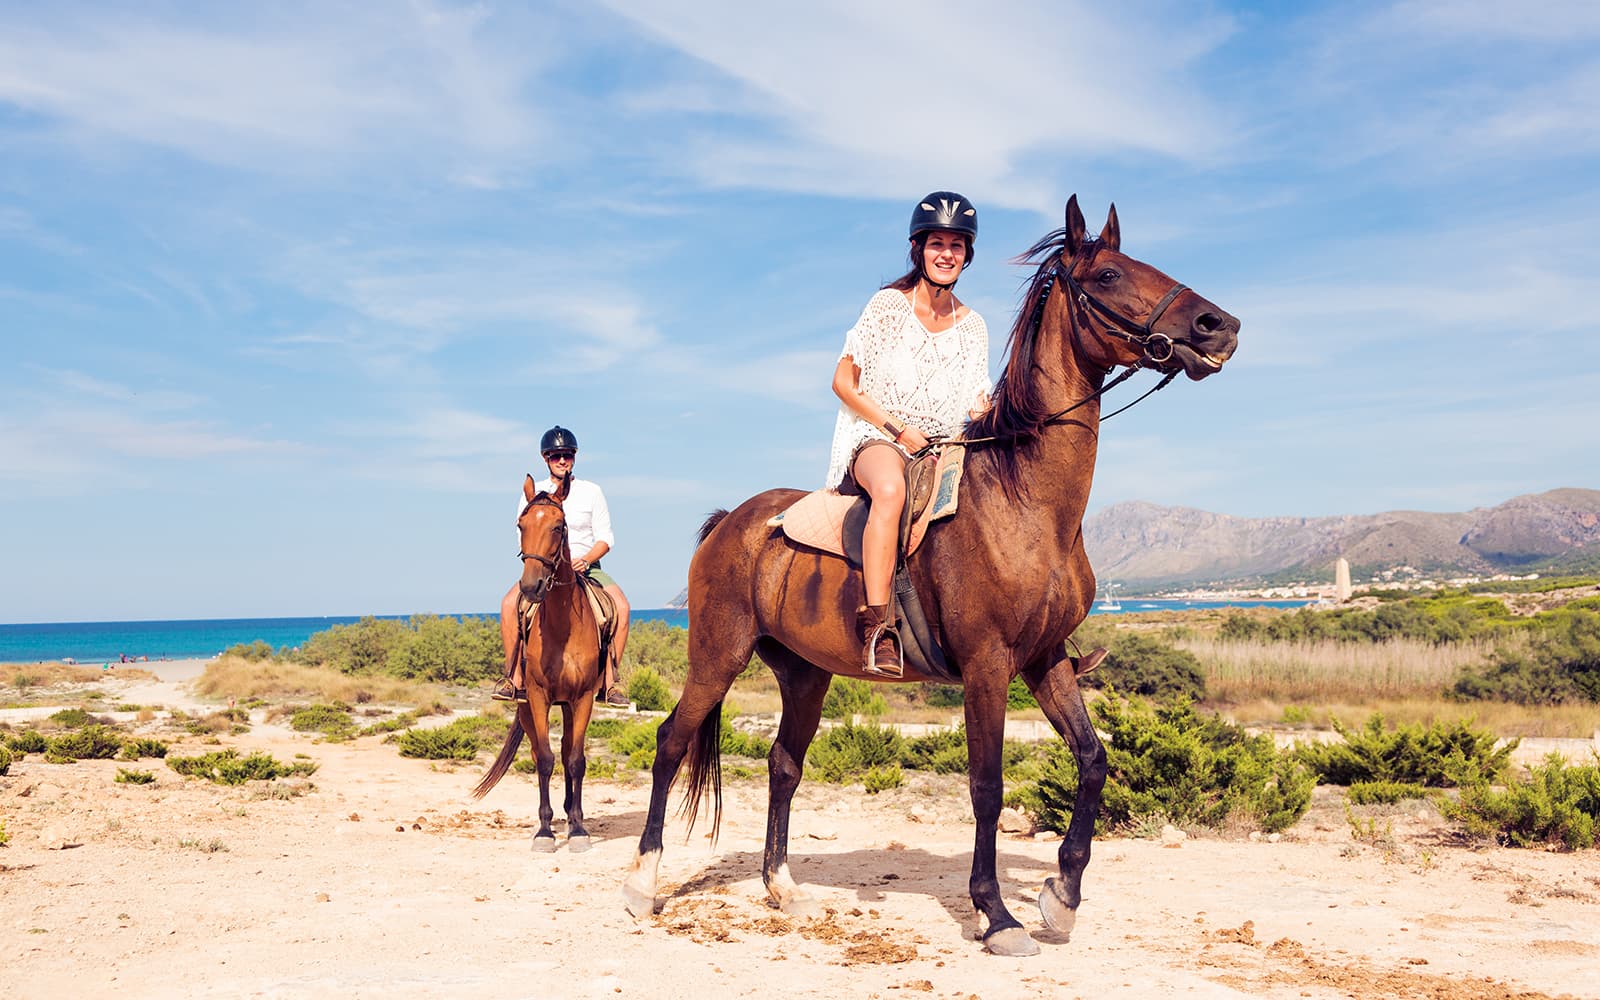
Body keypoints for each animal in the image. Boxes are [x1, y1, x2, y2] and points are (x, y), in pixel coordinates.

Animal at [472, 473, 606, 852]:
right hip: (526, 709)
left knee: (567, 751)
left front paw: (578, 828)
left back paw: (570, 813)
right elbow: (545, 760)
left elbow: (575, 760)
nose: (532, 586)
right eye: (521, 525)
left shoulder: (583, 698)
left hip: (568, 705)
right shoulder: (536, 697)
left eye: (559, 526)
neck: (562, 624)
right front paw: (545, 832)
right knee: (538, 753)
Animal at [621, 196, 1240, 955]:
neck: (1025, 501)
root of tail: (729, 524)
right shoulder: (988, 665)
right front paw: (997, 914)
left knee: (782, 766)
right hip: (717, 656)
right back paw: (642, 885)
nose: (1220, 326)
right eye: (1110, 273)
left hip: (805, 674)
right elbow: (987, 787)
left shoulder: (1044, 659)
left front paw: (1061, 894)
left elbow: (1093, 761)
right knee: (670, 744)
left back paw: (782, 887)